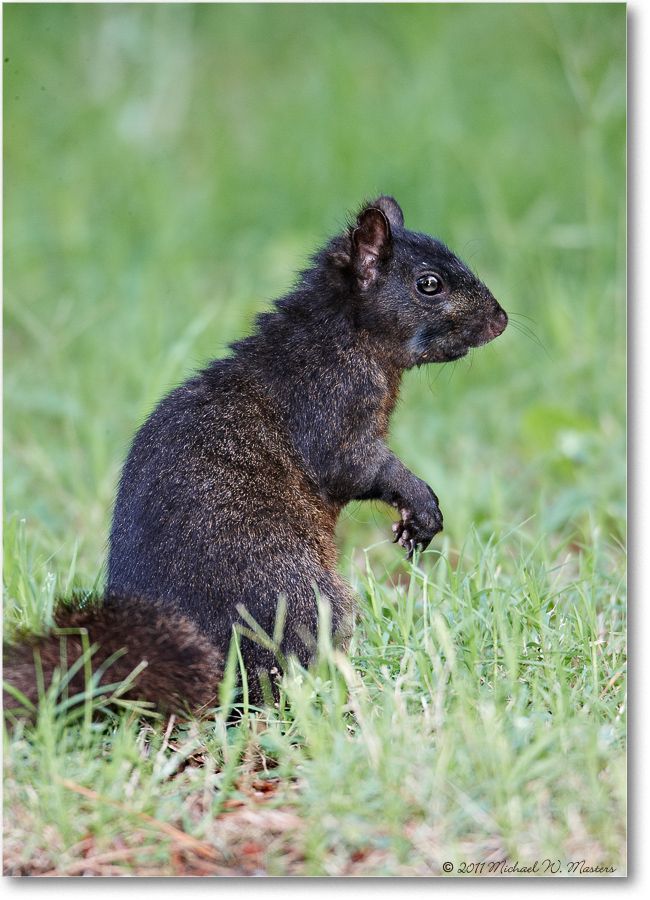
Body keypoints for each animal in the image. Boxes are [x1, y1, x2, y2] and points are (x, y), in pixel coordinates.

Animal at [2, 197, 506, 716]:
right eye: (429, 284)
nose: (501, 320)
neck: (340, 337)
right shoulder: (330, 410)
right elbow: (356, 467)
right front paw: (421, 506)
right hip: (300, 597)